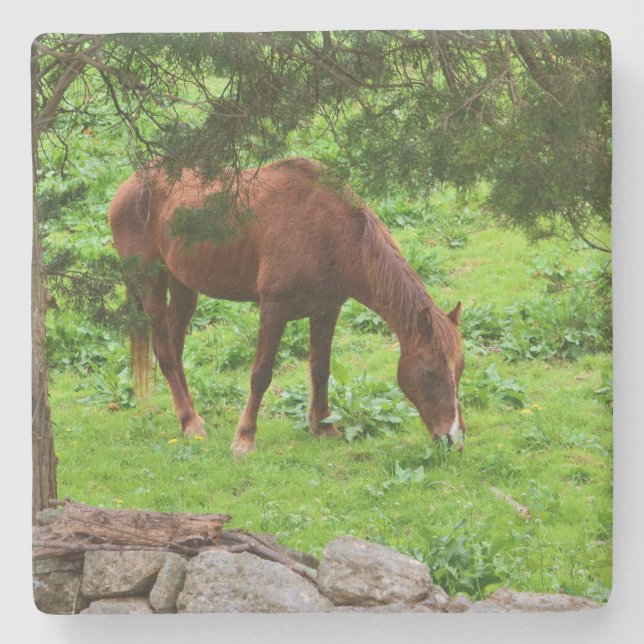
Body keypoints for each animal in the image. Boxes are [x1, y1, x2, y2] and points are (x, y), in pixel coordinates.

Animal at [108, 157, 466, 457]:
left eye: (459, 370)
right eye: (431, 372)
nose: (453, 439)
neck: (328, 231)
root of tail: (129, 185)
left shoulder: (326, 310)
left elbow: (320, 368)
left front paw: (323, 425)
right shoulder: (274, 309)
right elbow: (261, 375)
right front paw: (245, 439)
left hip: (183, 286)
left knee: (175, 346)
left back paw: (189, 416)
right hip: (150, 282)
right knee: (165, 351)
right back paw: (190, 422)